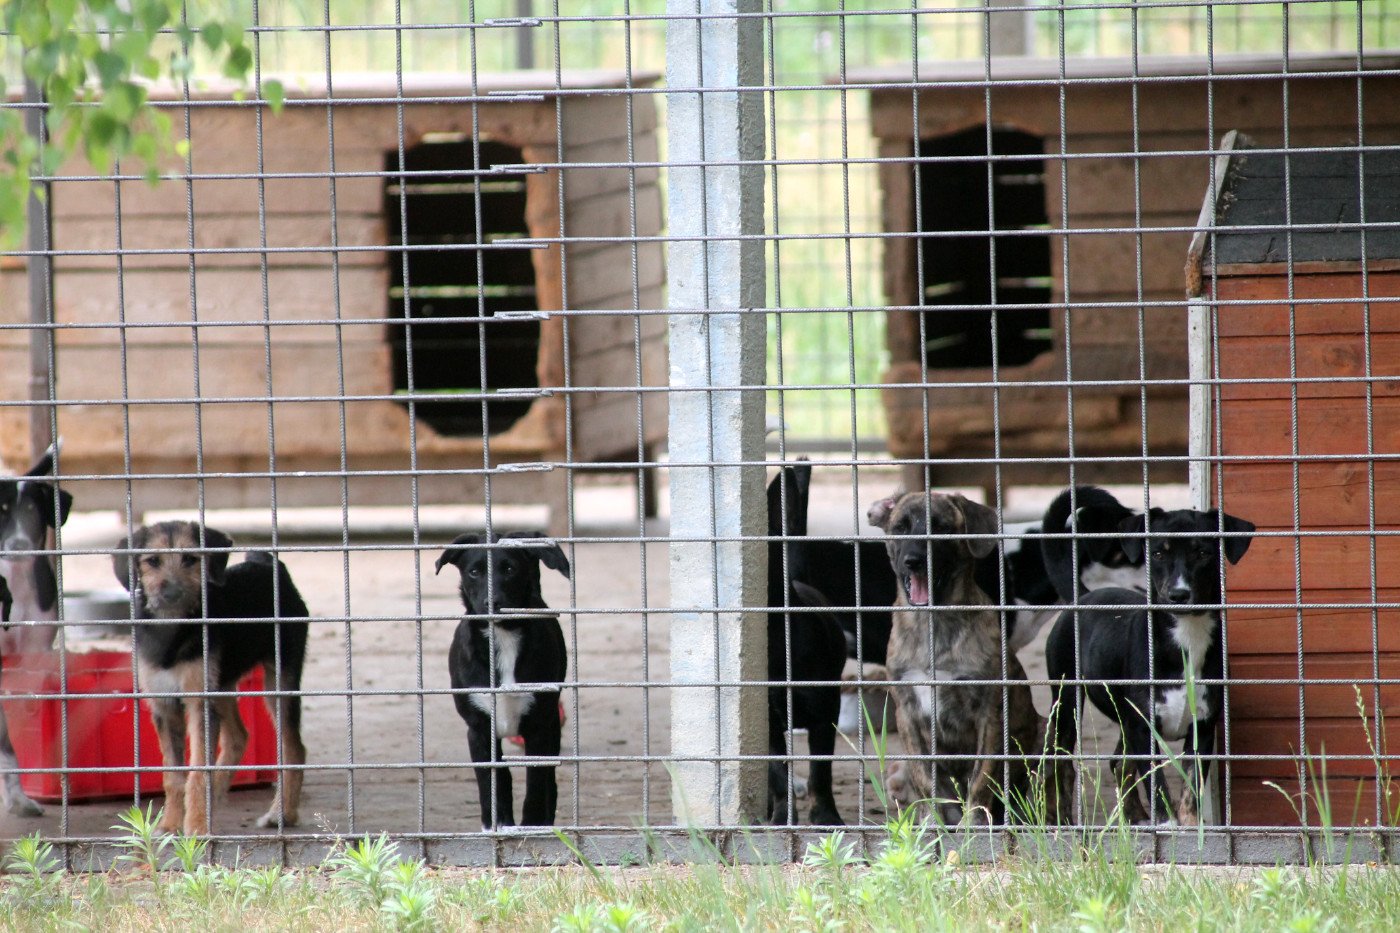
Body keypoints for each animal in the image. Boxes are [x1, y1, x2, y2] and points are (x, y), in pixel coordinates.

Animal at [114, 518, 312, 829]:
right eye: (152, 561)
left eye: (191, 559)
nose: (171, 595)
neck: (173, 634)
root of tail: (268, 564)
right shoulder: (164, 705)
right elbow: (173, 775)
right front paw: (171, 825)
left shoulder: (199, 703)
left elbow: (197, 771)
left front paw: (195, 828)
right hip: (222, 685)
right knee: (238, 737)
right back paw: (216, 797)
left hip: (279, 680)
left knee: (294, 748)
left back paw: (281, 814)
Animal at [436, 529, 568, 829]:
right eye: (474, 572)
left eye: (510, 569)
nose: (491, 603)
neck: (503, 636)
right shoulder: (478, 729)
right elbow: (492, 780)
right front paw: (496, 824)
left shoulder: (540, 727)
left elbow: (535, 783)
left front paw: (532, 826)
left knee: (550, 780)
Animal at [868, 487, 1047, 823]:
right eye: (900, 527)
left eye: (941, 527)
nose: (914, 561)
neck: (934, 625)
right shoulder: (907, 713)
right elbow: (926, 778)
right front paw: (933, 824)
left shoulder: (989, 712)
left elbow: (981, 777)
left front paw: (973, 825)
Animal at [1041, 509, 1260, 823]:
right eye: (1157, 553)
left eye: (1203, 552)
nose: (1178, 595)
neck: (1185, 638)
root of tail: (1083, 596)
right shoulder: (1144, 730)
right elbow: (1158, 788)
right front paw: (1167, 825)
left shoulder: (1202, 729)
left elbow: (1190, 793)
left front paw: (1191, 828)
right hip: (1066, 699)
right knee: (1058, 764)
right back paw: (1058, 821)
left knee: (1118, 763)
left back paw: (1135, 818)